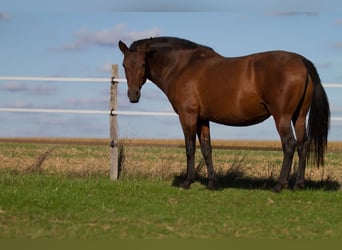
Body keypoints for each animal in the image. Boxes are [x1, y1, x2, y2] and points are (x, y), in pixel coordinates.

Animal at [117, 36, 328, 191]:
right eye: (124, 65)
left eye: (143, 64)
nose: (133, 95)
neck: (182, 66)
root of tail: (301, 61)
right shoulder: (203, 119)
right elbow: (207, 149)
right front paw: (211, 183)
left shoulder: (188, 116)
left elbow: (190, 148)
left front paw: (187, 182)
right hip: (299, 116)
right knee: (303, 144)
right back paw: (298, 184)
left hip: (282, 117)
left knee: (289, 145)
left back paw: (279, 185)